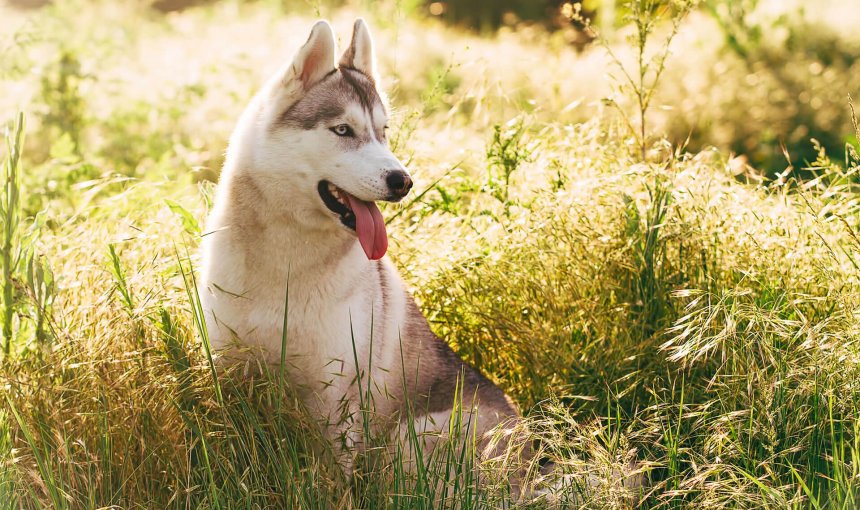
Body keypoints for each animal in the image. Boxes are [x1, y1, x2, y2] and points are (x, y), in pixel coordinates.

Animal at [200, 17, 524, 486]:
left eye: (383, 132)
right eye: (343, 130)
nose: (402, 180)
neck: (285, 265)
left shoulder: (335, 400)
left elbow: (332, 483)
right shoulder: (229, 372)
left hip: (411, 435)